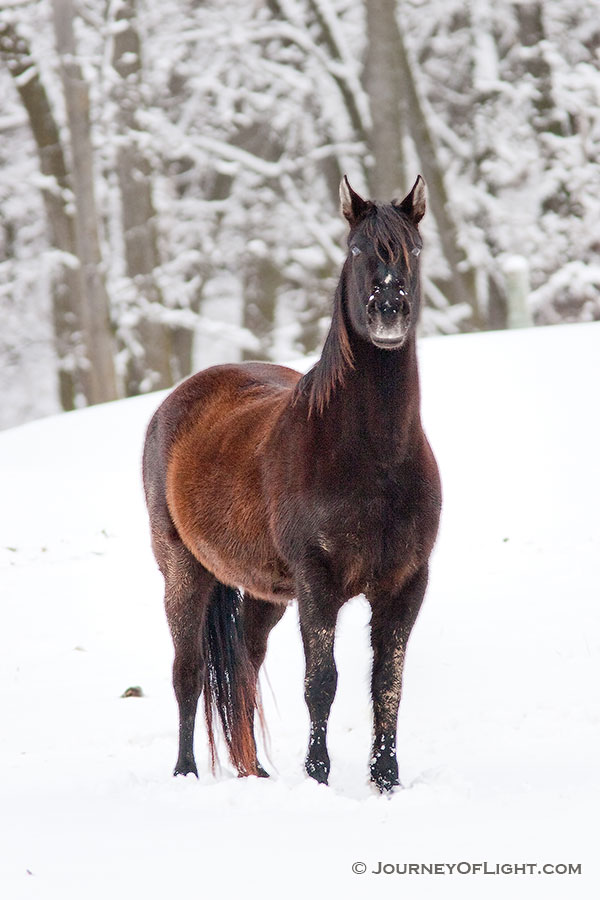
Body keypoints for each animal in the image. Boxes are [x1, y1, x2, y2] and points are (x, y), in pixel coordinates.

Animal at [142, 178, 440, 796]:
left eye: (415, 249)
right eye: (357, 249)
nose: (389, 311)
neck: (373, 458)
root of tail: (176, 400)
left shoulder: (406, 584)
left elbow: (387, 684)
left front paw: (385, 781)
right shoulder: (317, 582)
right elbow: (321, 681)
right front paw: (319, 777)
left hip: (264, 594)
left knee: (245, 665)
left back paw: (253, 771)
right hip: (182, 571)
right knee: (188, 673)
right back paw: (185, 772)